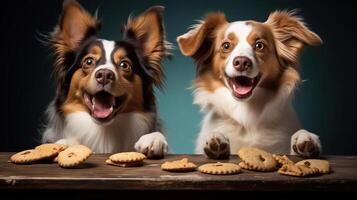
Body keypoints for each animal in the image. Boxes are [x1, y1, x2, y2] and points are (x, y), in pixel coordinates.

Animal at [41, 0, 170, 158]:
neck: (104, 133)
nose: (104, 75)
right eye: (89, 61)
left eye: (124, 64)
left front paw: (153, 139)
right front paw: (65, 144)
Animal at [177, 10, 322, 159]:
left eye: (259, 45)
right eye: (226, 46)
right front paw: (216, 138)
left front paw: (305, 137)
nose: (241, 62)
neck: (246, 116)